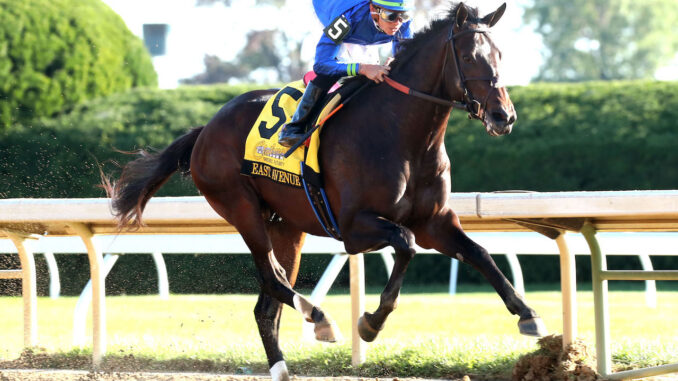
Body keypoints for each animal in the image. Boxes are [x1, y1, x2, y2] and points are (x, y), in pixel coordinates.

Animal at [109, 2, 548, 378]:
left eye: (500, 55)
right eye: (471, 57)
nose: (504, 116)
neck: (402, 135)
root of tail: (204, 130)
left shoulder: (434, 222)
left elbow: (480, 253)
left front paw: (528, 314)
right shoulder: (355, 228)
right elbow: (405, 245)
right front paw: (370, 323)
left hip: (286, 226)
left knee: (266, 304)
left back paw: (283, 367)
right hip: (241, 208)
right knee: (273, 279)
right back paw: (320, 319)